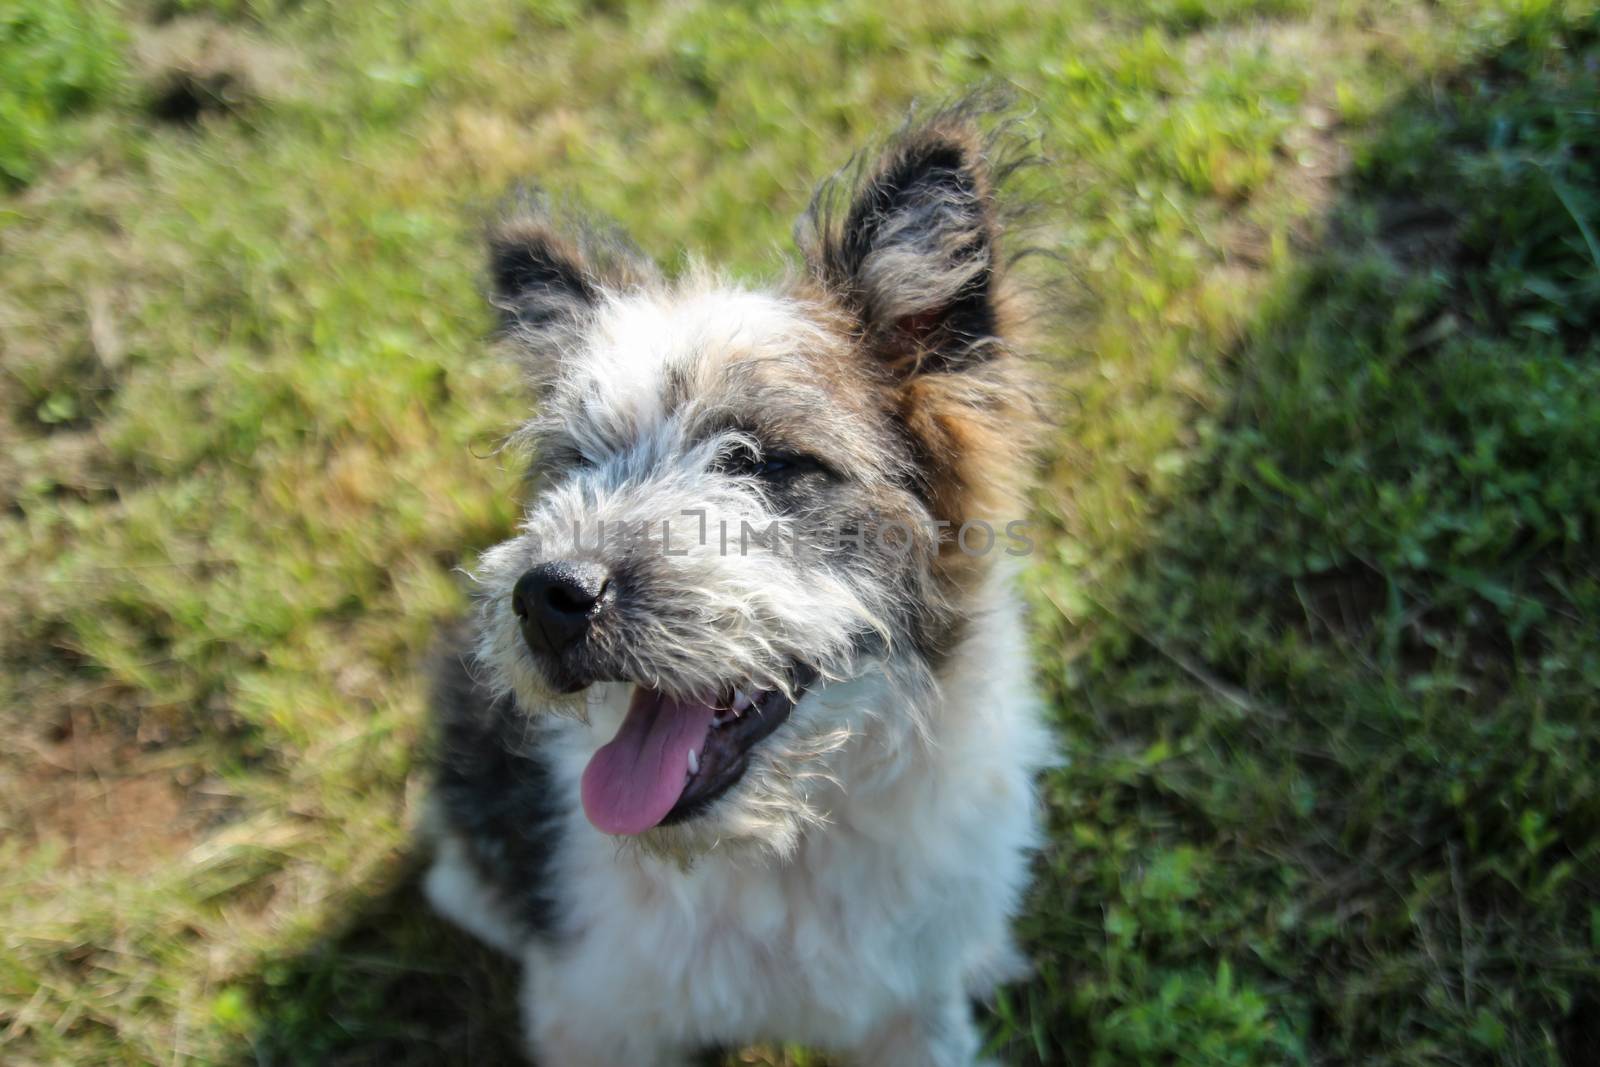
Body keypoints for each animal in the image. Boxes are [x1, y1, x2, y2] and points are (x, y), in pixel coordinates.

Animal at [419, 102, 1056, 1067]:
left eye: (760, 460)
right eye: (579, 462)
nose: (546, 596)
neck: (782, 846)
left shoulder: (915, 1012)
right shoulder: (593, 1018)